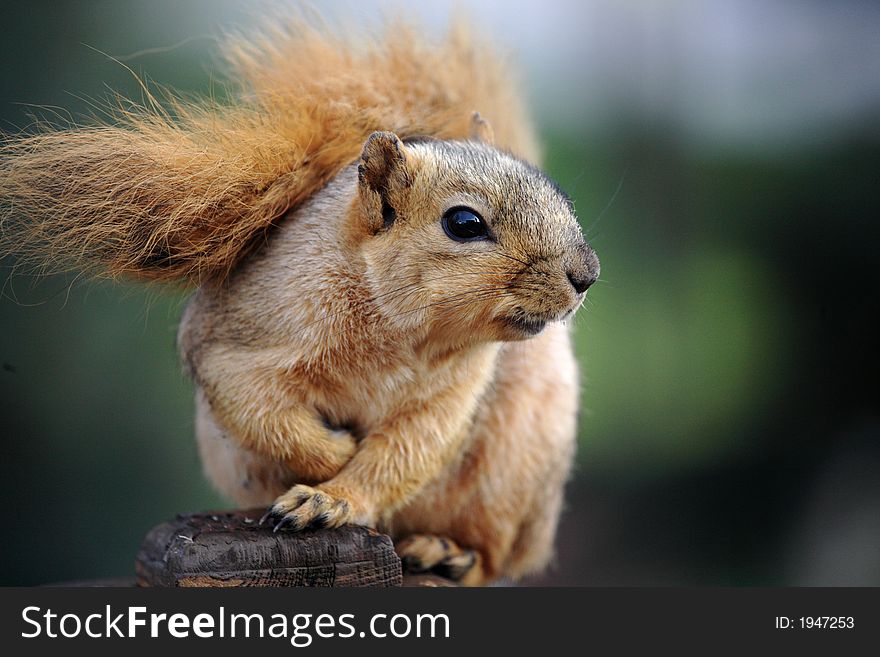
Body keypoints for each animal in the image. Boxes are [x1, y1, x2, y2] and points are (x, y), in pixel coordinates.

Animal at [0, 15, 600, 580]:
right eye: (464, 223)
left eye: (558, 195)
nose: (586, 274)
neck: (398, 332)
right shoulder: (238, 342)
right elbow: (262, 414)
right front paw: (335, 452)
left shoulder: (449, 400)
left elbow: (403, 453)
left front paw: (331, 498)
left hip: (515, 466)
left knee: (498, 556)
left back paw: (448, 551)